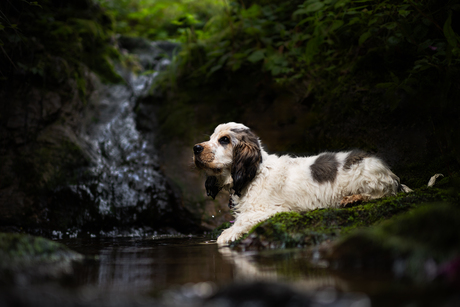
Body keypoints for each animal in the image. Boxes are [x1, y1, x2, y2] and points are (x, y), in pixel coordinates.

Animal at [192, 122, 412, 245]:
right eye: (211, 138)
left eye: (224, 140)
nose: (196, 148)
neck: (255, 173)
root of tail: (392, 175)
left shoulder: (270, 209)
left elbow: (238, 223)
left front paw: (225, 236)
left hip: (368, 177)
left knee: (384, 193)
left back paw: (353, 199)